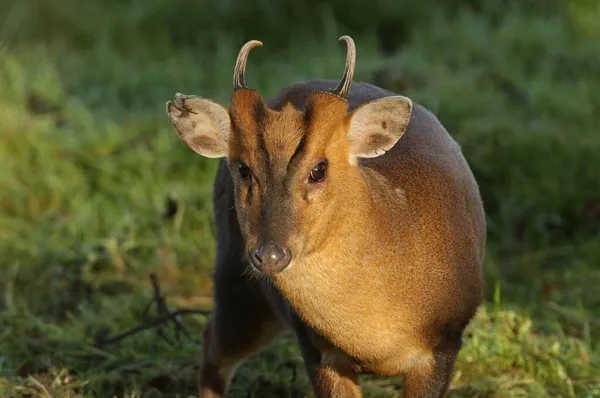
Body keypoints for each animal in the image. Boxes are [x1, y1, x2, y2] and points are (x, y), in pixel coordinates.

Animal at [166, 35, 486, 396]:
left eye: (319, 169)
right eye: (244, 169)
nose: (271, 254)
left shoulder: (445, 341)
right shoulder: (315, 347)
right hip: (236, 275)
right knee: (213, 344)